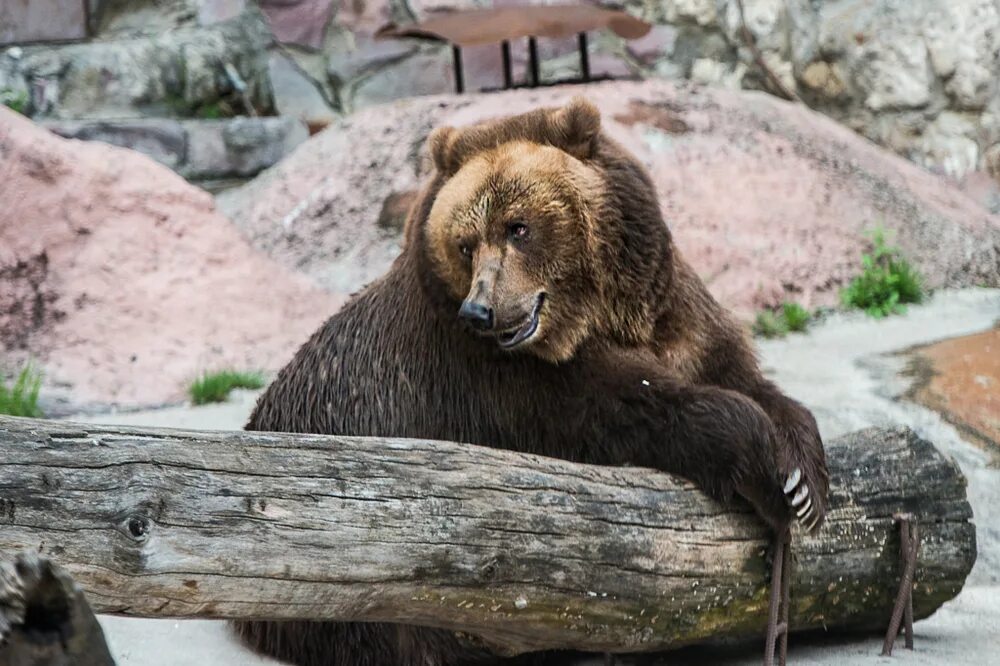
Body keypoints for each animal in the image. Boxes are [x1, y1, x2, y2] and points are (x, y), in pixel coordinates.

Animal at [234, 94, 828, 664]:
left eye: (518, 227)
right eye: (466, 242)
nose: (481, 311)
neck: (595, 315)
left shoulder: (676, 314)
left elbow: (739, 374)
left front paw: (802, 480)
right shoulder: (499, 381)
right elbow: (631, 410)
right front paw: (763, 466)